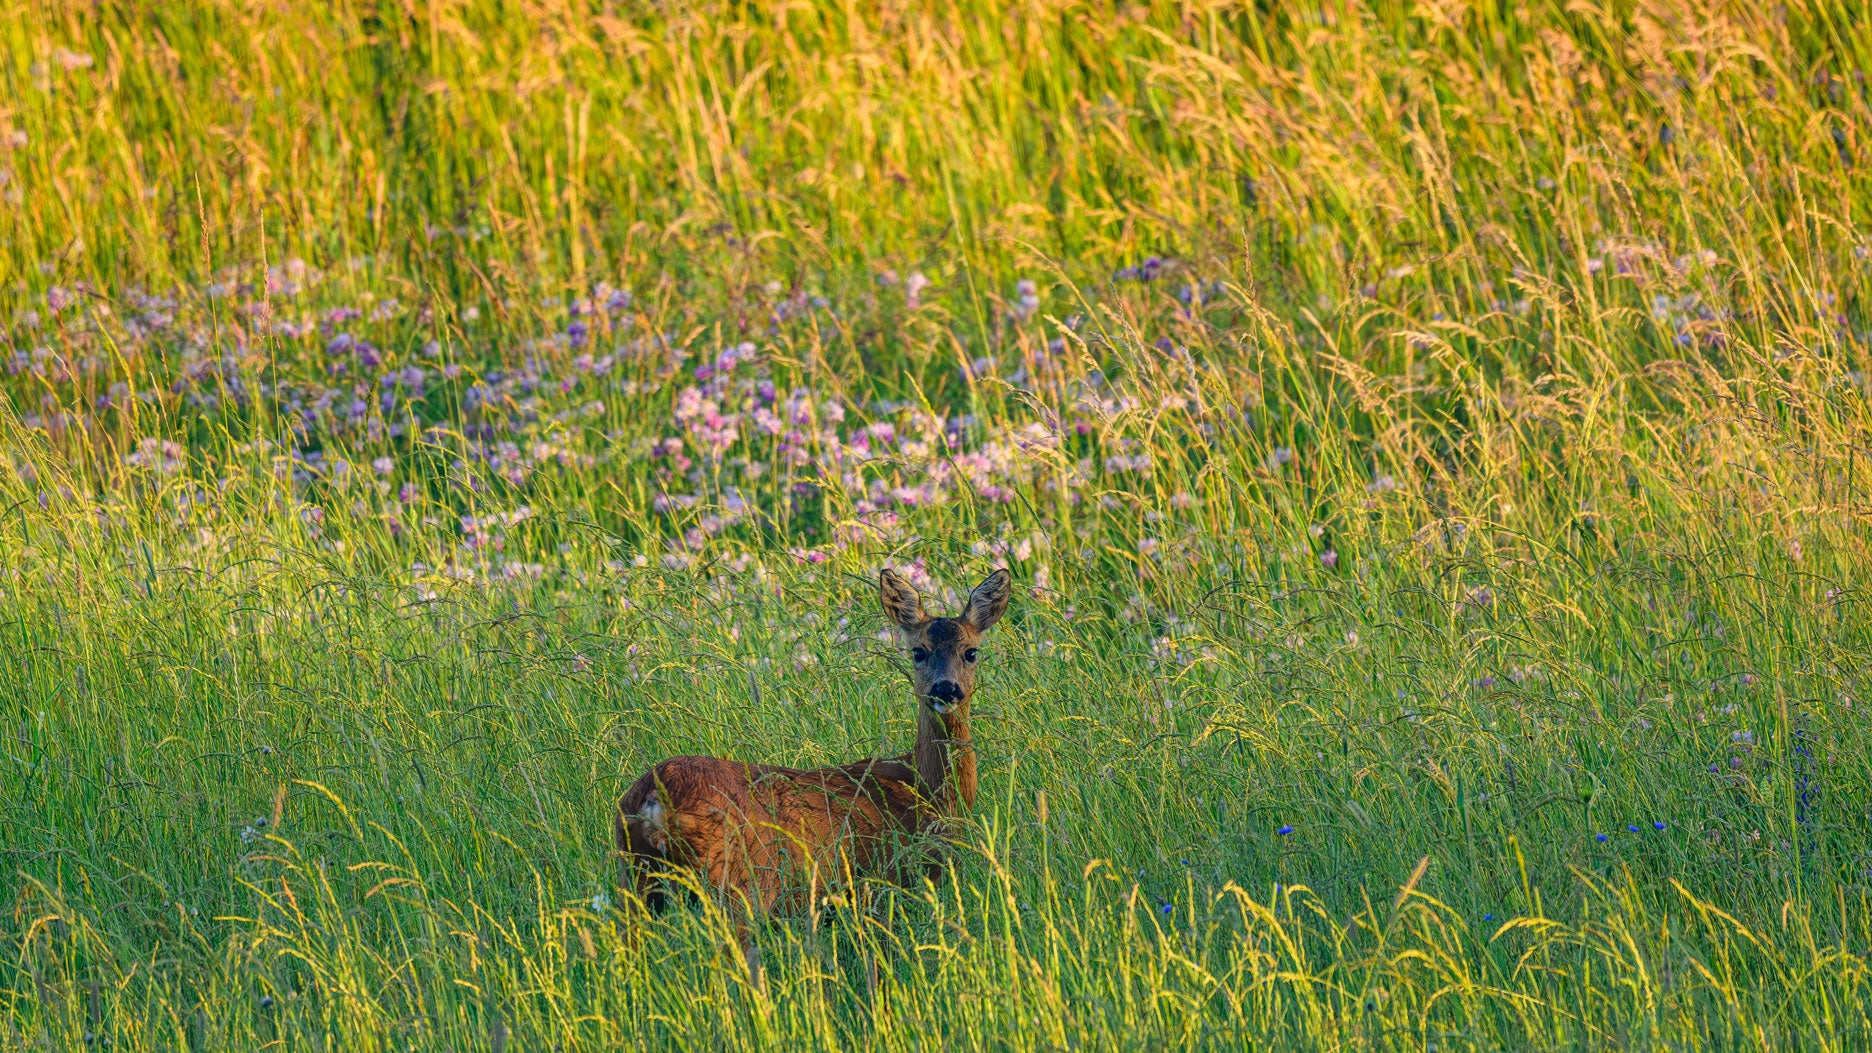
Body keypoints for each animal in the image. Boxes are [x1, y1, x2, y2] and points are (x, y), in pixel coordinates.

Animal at [614, 567, 1010, 974]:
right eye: (919, 651)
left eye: (971, 652)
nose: (945, 689)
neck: (927, 793)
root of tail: (655, 798)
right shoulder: (878, 887)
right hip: (735, 886)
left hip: (636, 878)